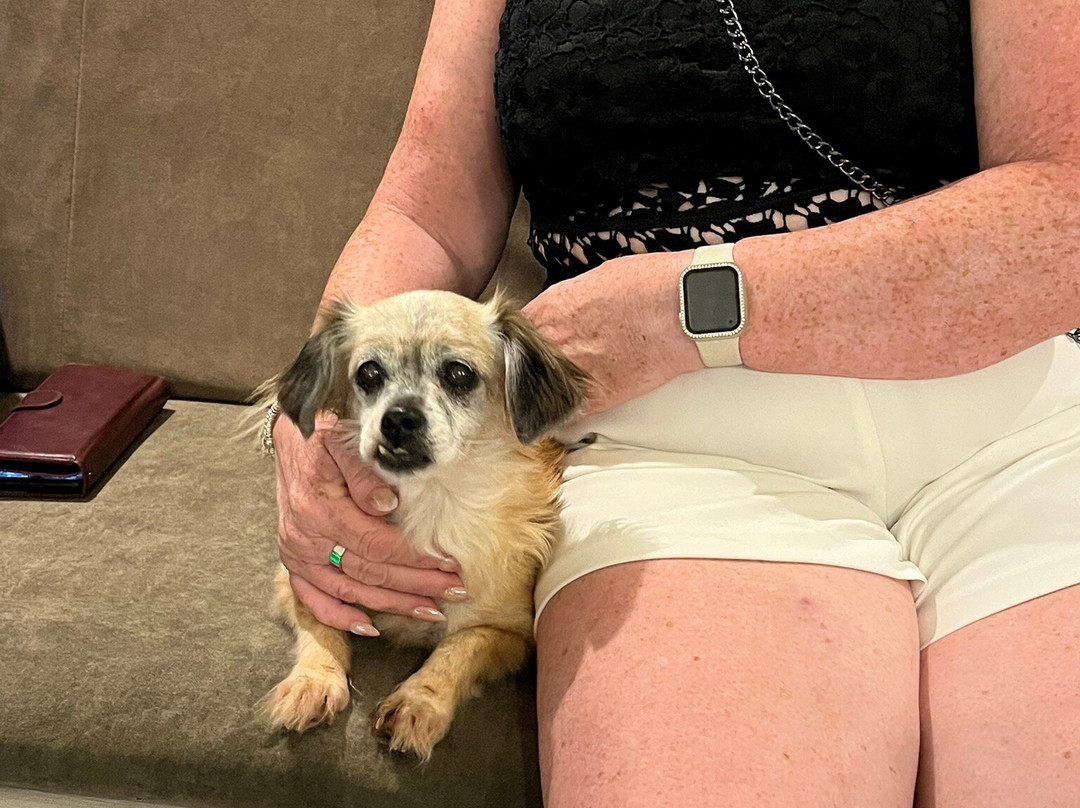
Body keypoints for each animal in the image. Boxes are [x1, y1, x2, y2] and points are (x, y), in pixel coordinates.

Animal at [254, 289, 590, 761]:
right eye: (369, 373)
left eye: (458, 374)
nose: (398, 417)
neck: (431, 500)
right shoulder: (301, 580)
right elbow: (322, 627)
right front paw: (312, 680)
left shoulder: (510, 634)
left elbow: (459, 646)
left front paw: (419, 701)